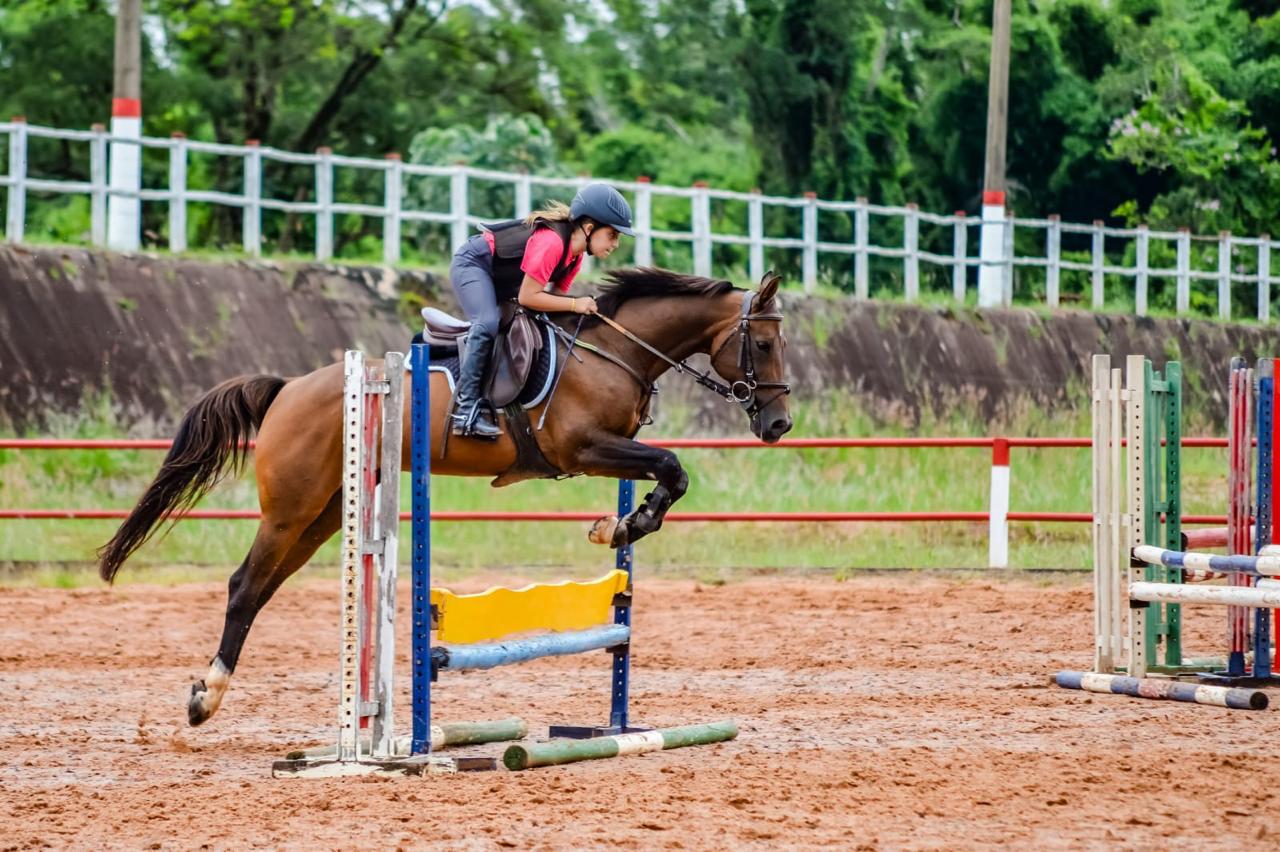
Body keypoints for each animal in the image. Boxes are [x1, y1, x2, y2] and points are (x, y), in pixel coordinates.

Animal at [96, 267, 793, 727]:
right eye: (761, 344)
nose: (779, 425)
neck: (613, 350)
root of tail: (288, 388)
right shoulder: (583, 448)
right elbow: (672, 468)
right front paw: (620, 527)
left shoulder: (607, 449)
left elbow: (669, 474)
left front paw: (620, 525)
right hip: (291, 510)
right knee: (244, 585)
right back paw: (204, 698)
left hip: (323, 515)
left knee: (263, 588)